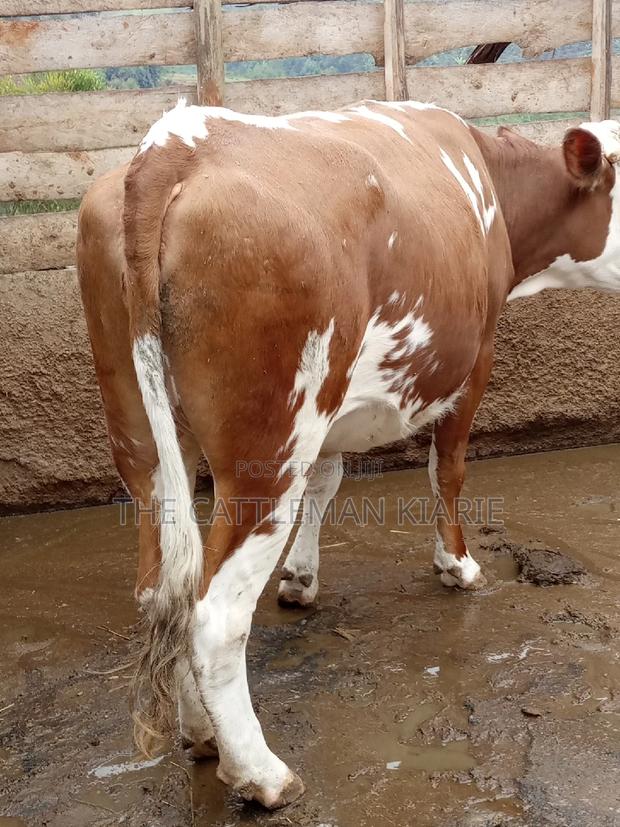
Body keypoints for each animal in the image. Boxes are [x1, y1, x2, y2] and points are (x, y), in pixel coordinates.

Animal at [77, 99, 620, 809]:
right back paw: (260, 772)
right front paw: (457, 565)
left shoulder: (329, 418)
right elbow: (448, 469)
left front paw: (302, 578)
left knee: (162, 585)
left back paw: (200, 734)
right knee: (214, 613)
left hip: (141, 437)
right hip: (269, 443)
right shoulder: (473, 362)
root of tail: (175, 143)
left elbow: (328, 481)